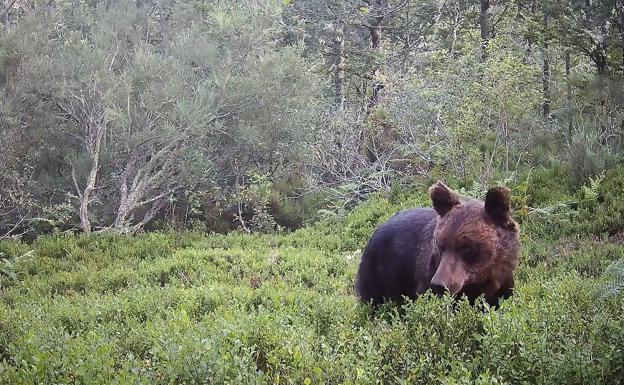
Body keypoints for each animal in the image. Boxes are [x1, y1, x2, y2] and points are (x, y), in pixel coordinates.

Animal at [354, 181, 520, 306]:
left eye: (467, 248)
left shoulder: (503, 282)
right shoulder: (427, 275)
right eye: (441, 246)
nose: (438, 285)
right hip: (378, 270)